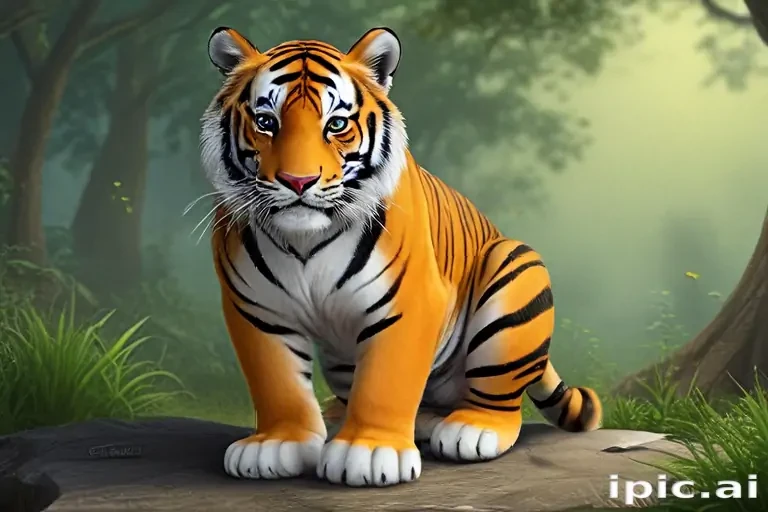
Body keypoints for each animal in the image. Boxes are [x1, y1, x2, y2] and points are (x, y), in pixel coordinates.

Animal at [199, 25, 602, 488]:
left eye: (336, 124)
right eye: (266, 122)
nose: (298, 181)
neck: (304, 242)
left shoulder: (408, 302)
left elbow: (386, 381)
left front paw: (371, 451)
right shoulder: (255, 310)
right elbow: (277, 382)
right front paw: (277, 444)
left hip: (514, 268)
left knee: (498, 398)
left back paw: (472, 428)